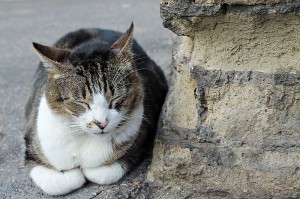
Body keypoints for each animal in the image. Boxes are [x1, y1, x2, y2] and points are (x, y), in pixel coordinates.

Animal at [23, 23, 168, 196]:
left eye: (115, 98)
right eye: (81, 101)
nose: (101, 123)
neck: (85, 138)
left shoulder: (139, 143)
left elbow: (100, 172)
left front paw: (86, 171)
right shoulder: (32, 147)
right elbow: (57, 183)